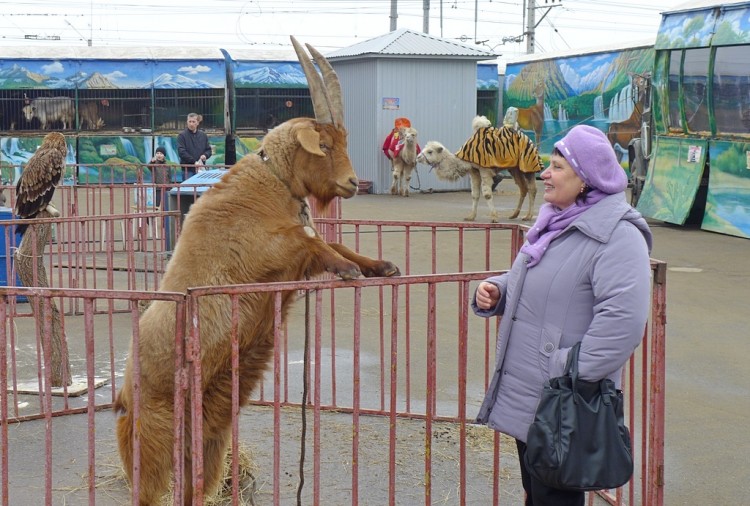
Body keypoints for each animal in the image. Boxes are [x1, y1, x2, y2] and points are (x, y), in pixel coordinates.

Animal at [112, 36, 402, 506]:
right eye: (324, 145)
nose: (352, 184)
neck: (269, 185)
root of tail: (122, 393)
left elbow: (331, 241)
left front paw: (379, 265)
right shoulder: (265, 252)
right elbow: (313, 241)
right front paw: (348, 270)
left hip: (206, 436)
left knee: (194, 487)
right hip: (151, 438)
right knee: (149, 493)